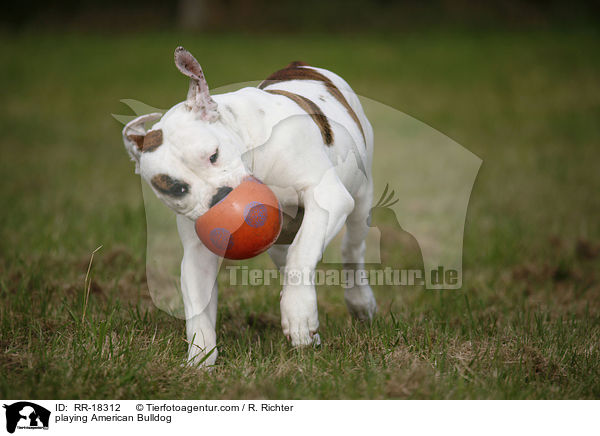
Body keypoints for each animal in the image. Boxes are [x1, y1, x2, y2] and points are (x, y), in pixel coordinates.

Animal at [122, 46, 376, 368]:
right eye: (177, 188)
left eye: (213, 155)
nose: (221, 198)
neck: (251, 150)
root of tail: (299, 65)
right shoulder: (198, 253)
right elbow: (198, 307)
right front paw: (199, 360)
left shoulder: (327, 196)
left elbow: (303, 251)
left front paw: (298, 314)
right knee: (287, 256)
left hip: (361, 201)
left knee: (351, 250)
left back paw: (359, 301)